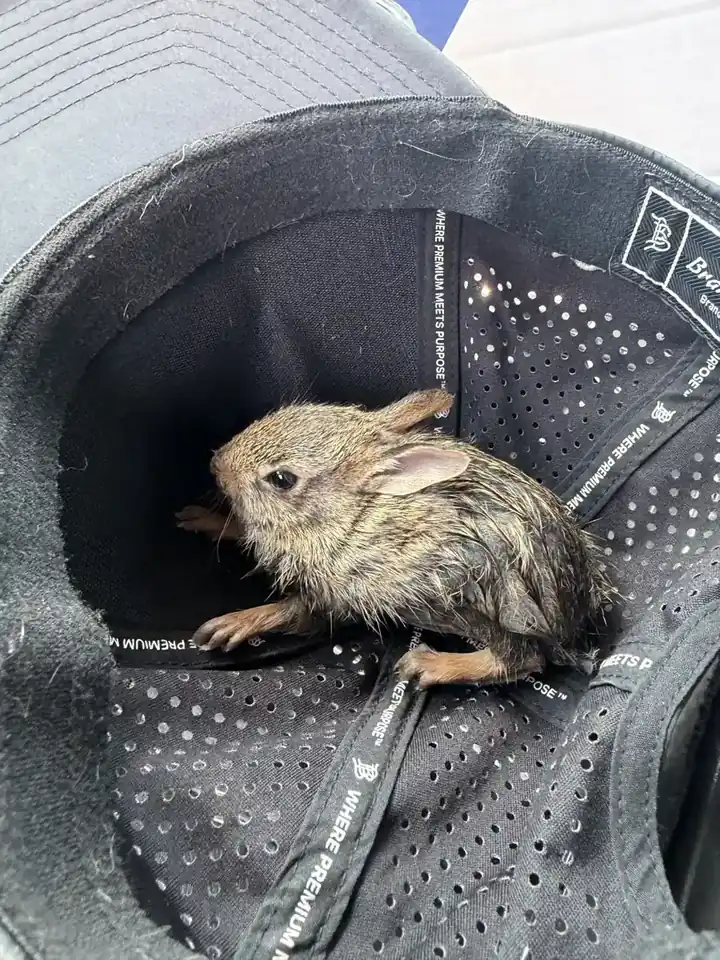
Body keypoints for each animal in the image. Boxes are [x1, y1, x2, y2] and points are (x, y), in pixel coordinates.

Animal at [176, 390, 612, 688]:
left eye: (282, 479)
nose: (217, 463)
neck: (351, 514)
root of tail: (573, 617)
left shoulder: (342, 591)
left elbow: (295, 613)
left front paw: (231, 625)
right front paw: (203, 519)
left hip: (490, 604)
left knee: (522, 660)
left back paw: (430, 665)